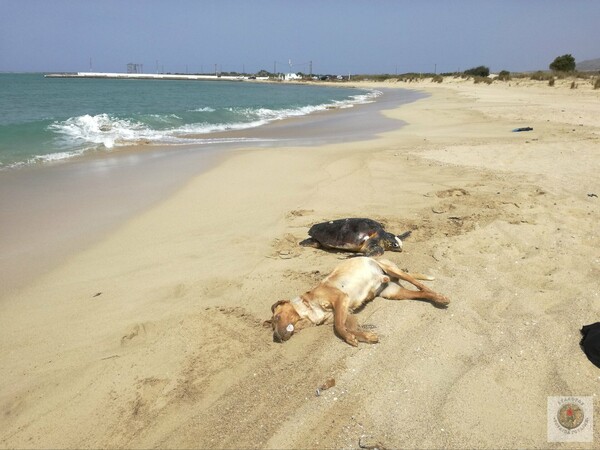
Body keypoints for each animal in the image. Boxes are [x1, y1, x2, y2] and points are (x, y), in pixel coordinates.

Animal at [264, 255, 448, 346]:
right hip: (393, 293)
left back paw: (440, 296)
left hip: (393, 270)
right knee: (421, 293)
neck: (308, 307)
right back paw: (434, 298)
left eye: (277, 318)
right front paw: (364, 336)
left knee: (420, 284)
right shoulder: (348, 312)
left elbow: (339, 327)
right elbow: (347, 327)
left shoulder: (340, 299)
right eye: (272, 325)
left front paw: (350, 339)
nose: (277, 337)